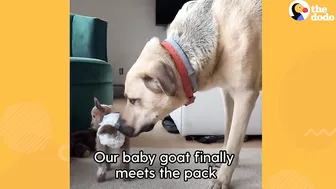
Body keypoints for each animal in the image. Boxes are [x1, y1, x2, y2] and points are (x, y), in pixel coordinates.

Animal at [116, 0, 262, 188]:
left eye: (133, 100)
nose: (117, 126)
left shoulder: (245, 95)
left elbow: (234, 141)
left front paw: (222, 178)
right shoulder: (228, 94)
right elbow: (228, 131)